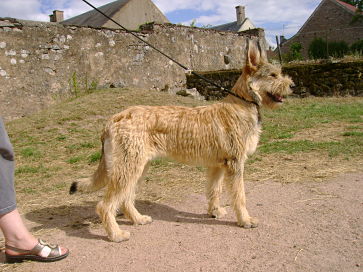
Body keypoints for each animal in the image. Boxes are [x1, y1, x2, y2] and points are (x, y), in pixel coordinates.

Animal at [69, 39, 294, 242]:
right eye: (273, 75)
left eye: (280, 73)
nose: (292, 85)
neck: (242, 104)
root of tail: (113, 120)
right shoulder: (235, 164)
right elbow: (240, 197)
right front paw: (245, 220)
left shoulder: (217, 166)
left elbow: (214, 190)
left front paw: (215, 212)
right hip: (128, 169)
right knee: (105, 205)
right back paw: (116, 234)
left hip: (137, 168)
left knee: (125, 200)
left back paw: (138, 219)